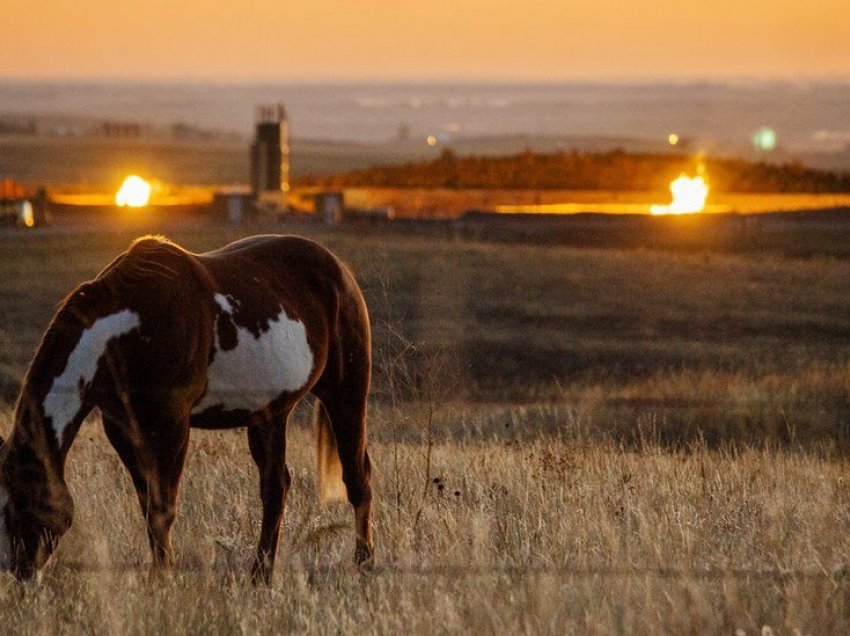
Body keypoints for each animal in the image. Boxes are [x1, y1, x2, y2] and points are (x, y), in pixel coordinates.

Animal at [0, 234, 374, 580]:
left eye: (19, 502)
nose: (18, 572)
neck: (127, 332)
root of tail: (339, 269)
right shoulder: (122, 428)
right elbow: (148, 505)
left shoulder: (172, 425)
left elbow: (163, 508)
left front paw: (165, 579)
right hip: (269, 415)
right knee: (275, 488)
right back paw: (260, 575)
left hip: (346, 393)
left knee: (356, 476)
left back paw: (363, 565)